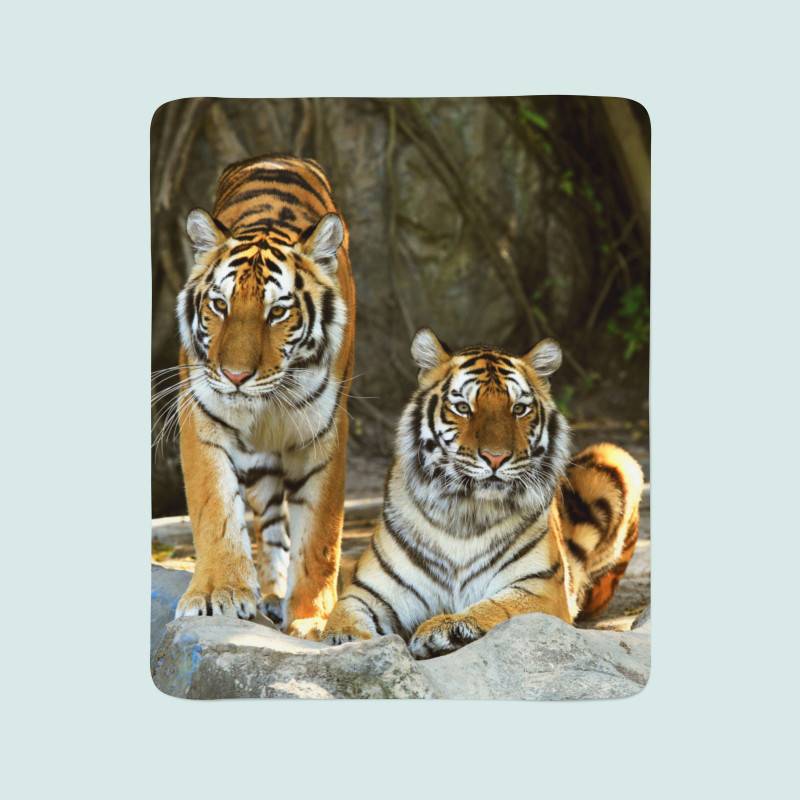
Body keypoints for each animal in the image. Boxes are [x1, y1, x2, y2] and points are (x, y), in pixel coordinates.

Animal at [170, 154, 355, 640]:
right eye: (220, 305)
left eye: (278, 312)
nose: (235, 376)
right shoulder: (201, 415)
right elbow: (215, 508)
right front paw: (216, 593)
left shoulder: (324, 433)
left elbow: (320, 536)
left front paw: (314, 617)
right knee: (269, 521)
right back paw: (268, 594)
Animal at [323, 328, 643, 658]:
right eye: (463, 408)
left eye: (519, 409)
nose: (496, 458)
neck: (466, 511)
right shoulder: (370, 591)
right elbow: (343, 617)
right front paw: (349, 643)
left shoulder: (539, 588)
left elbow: (495, 608)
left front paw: (445, 630)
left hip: (617, 459)